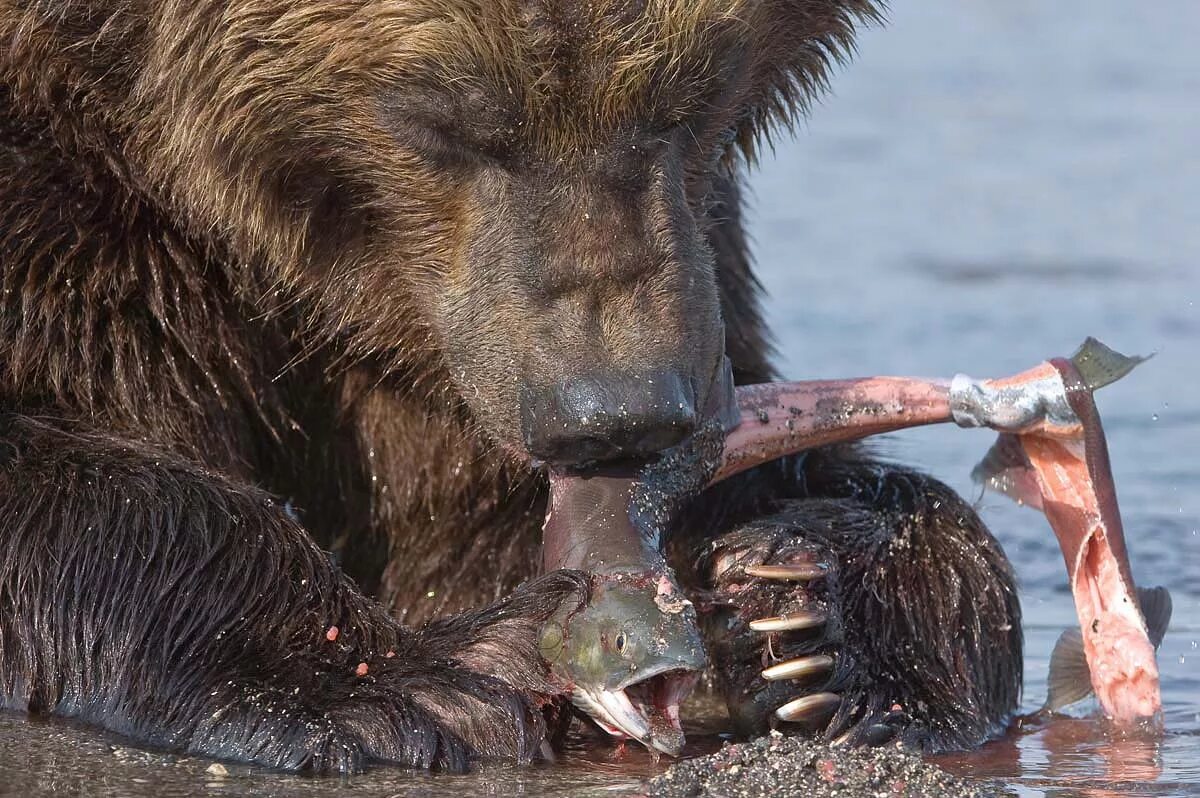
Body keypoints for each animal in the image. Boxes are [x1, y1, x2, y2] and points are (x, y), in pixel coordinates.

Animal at [0, 0, 1022, 772]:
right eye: (441, 118)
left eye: (695, 94)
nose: (615, 412)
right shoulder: (78, 232)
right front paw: (413, 681)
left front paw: (814, 621)